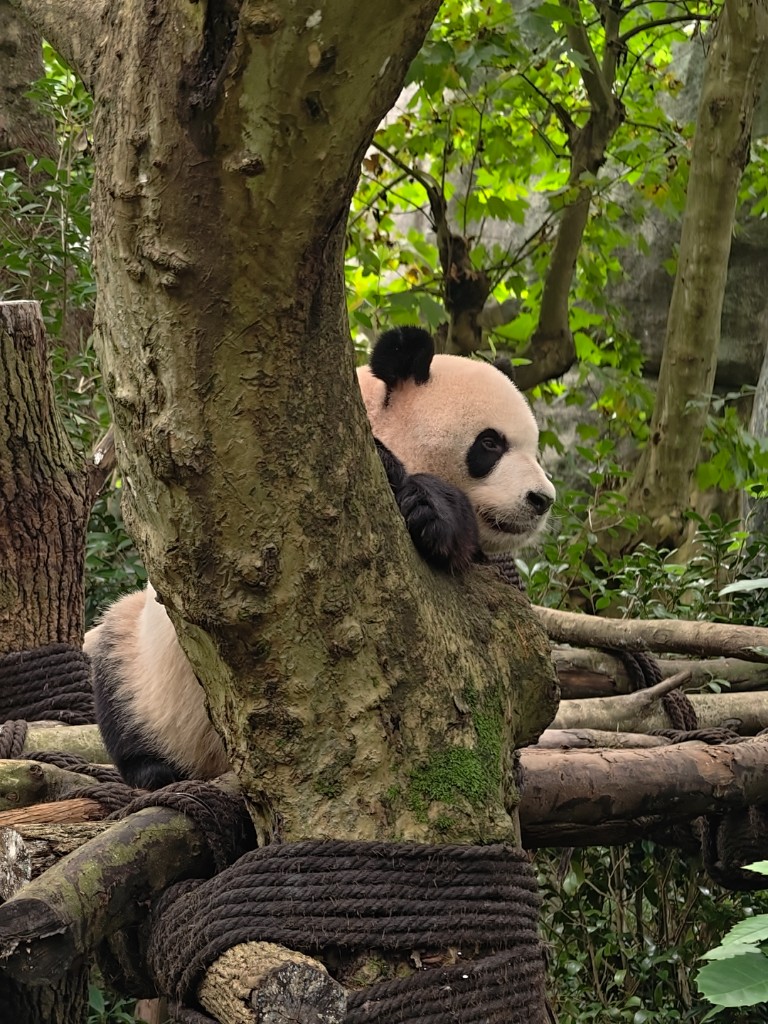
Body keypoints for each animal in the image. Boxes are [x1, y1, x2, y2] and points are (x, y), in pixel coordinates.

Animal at [85, 326, 554, 789]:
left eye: (532, 448)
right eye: (490, 443)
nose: (542, 499)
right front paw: (426, 502)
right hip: (147, 676)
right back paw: (154, 769)